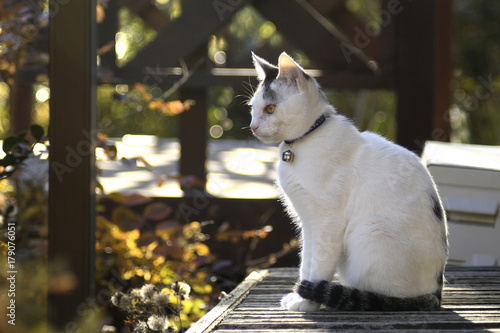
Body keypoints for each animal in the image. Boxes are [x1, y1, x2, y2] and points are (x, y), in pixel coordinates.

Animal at [250, 50, 450, 310]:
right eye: (253, 109)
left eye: (271, 109)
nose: (253, 126)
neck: (304, 142)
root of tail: (435, 294)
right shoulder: (308, 223)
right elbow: (306, 261)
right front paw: (300, 296)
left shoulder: (328, 223)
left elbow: (319, 265)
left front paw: (308, 302)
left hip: (368, 231)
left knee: (382, 297)